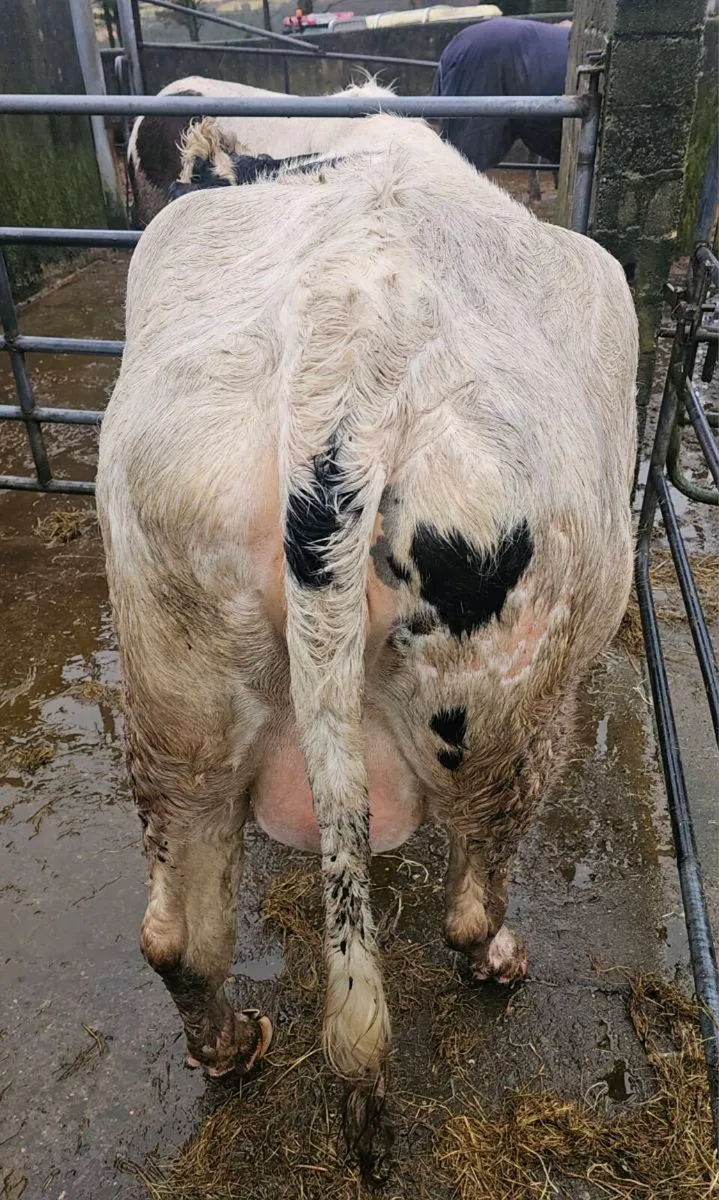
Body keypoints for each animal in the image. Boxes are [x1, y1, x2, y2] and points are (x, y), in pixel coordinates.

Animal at [97, 96, 638, 1181]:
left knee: (180, 935)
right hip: (514, 708)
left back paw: (230, 1047)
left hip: (176, 682)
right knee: (474, 889)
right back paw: (497, 960)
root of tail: (348, 359)